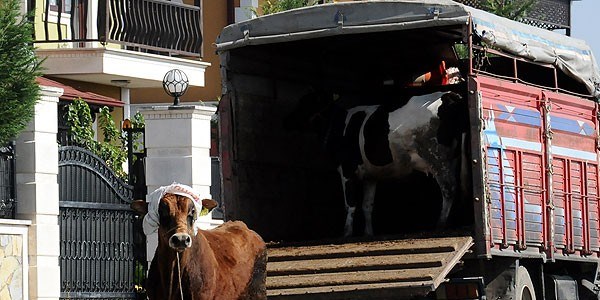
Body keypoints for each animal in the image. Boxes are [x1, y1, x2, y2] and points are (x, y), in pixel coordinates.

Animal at [286, 89, 468, 237]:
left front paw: (347, 233)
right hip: (451, 158)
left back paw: (440, 224)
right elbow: (367, 205)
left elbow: (350, 203)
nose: (286, 121)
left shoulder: (346, 170)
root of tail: (450, 96)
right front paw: (368, 233)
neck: (339, 125)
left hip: (436, 156)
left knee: (449, 189)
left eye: (306, 103)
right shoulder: (370, 176)